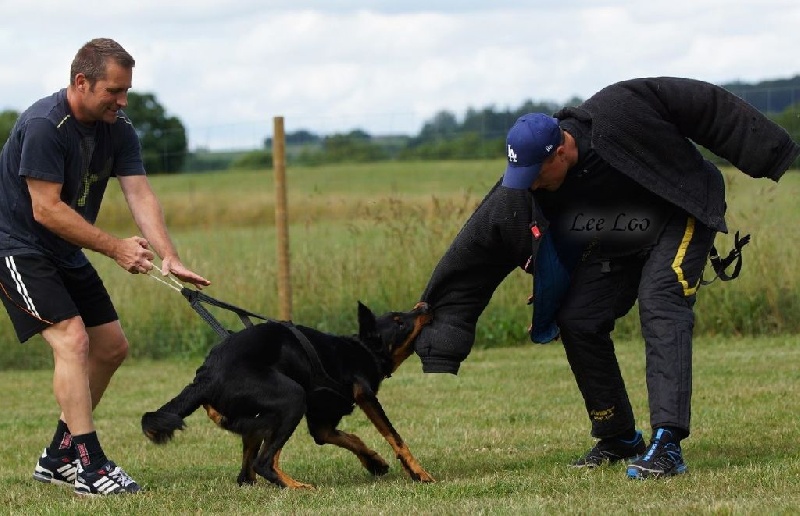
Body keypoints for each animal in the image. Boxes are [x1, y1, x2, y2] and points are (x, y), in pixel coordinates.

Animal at [141, 301, 434, 488]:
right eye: (399, 323)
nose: (424, 307)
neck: (362, 349)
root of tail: (206, 376)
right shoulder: (366, 398)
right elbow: (395, 437)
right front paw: (419, 473)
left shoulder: (322, 425)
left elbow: (351, 438)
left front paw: (374, 462)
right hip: (293, 399)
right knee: (263, 462)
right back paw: (295, 486)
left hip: (264, 415)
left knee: (247, 473)